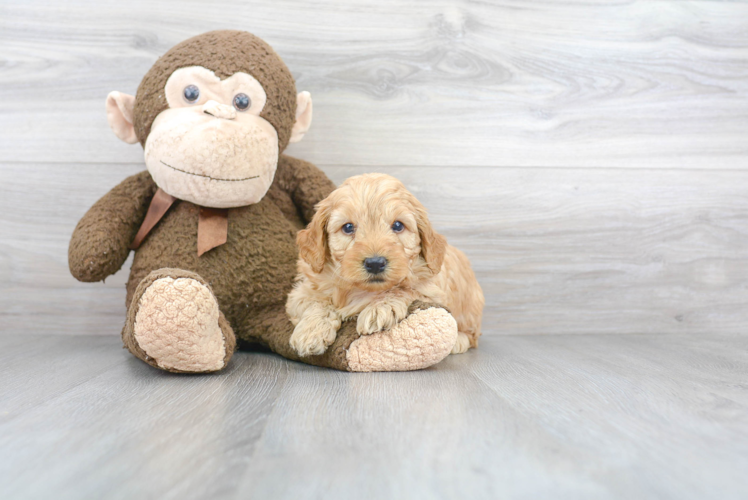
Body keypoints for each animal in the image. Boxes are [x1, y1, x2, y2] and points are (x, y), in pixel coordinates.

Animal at [286, 174, 486, 358]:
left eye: (398, 225)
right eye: (348, 227)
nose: (375, 263)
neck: (361, 290)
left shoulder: (432, 290)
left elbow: (405, 288)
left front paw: (379, 308)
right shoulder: (301, 293)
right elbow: (318, 302)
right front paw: (311, 331)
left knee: (472, 335)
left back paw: (458, 341)